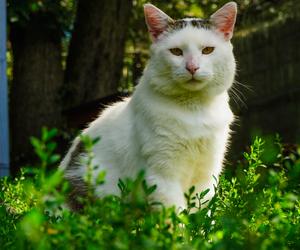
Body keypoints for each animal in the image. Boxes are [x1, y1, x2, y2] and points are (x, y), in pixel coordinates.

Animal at [61, 1, 238, 210]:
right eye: (176, 51)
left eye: (208, 50)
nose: (192, 67)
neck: (194, 110)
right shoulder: (162, 176)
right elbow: (176, 215)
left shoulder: (206, 177)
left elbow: (201, 213)